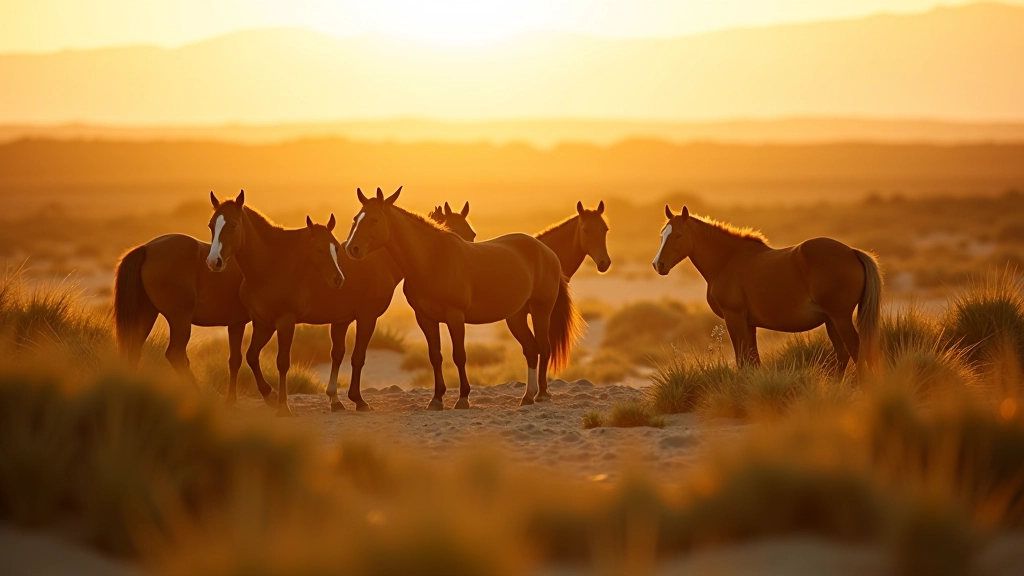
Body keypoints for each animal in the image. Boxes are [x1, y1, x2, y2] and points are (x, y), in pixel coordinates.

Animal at [344, 187, 583, 409]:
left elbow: (459, 355)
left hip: (541, 310)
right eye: (356, 218)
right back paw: (528, 396)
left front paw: (463, 398)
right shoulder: (425, 319)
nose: (351, 248)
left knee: (544, 347)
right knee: (531, 349)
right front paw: (436, 399)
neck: (431, 260)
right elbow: (435, 356)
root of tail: (547, 252)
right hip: (516, 317)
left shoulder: (455, 316)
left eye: (375, 219)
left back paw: (542, 394)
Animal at [652, 205, 882, 372]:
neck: (727, 260)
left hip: (839, 318)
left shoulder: (734, 319)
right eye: (662, 234)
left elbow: (743, 361)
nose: (658, 265)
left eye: (678, 235)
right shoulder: (749, 324)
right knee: (843, 355)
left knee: (856, 351)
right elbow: (752, 361)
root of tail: (852, 252)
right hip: (831, 320)